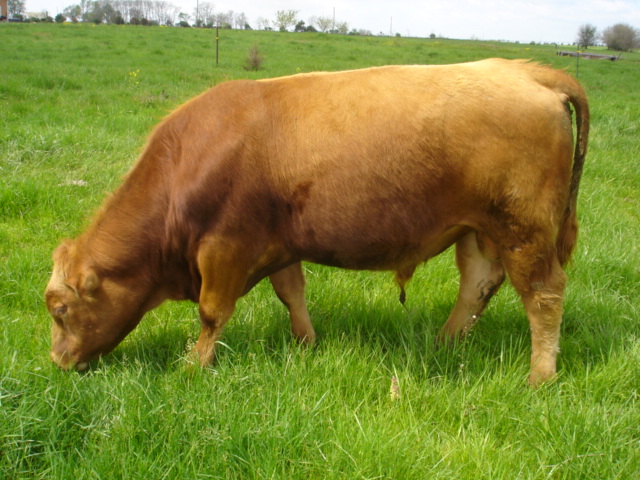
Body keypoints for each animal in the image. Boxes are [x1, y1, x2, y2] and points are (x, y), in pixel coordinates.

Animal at [45, 59, 589, 385]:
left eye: (60, 310)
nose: (58, 361)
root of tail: (525, 70)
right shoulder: (279, 244)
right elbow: (292, 294)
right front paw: (307, 343)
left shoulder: (224, 247)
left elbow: (211, 313)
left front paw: (194, 365)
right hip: (481, 231)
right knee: (478, 284)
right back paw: (445, 342)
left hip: (524, 230)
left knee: (543, 295)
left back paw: (540, 375)